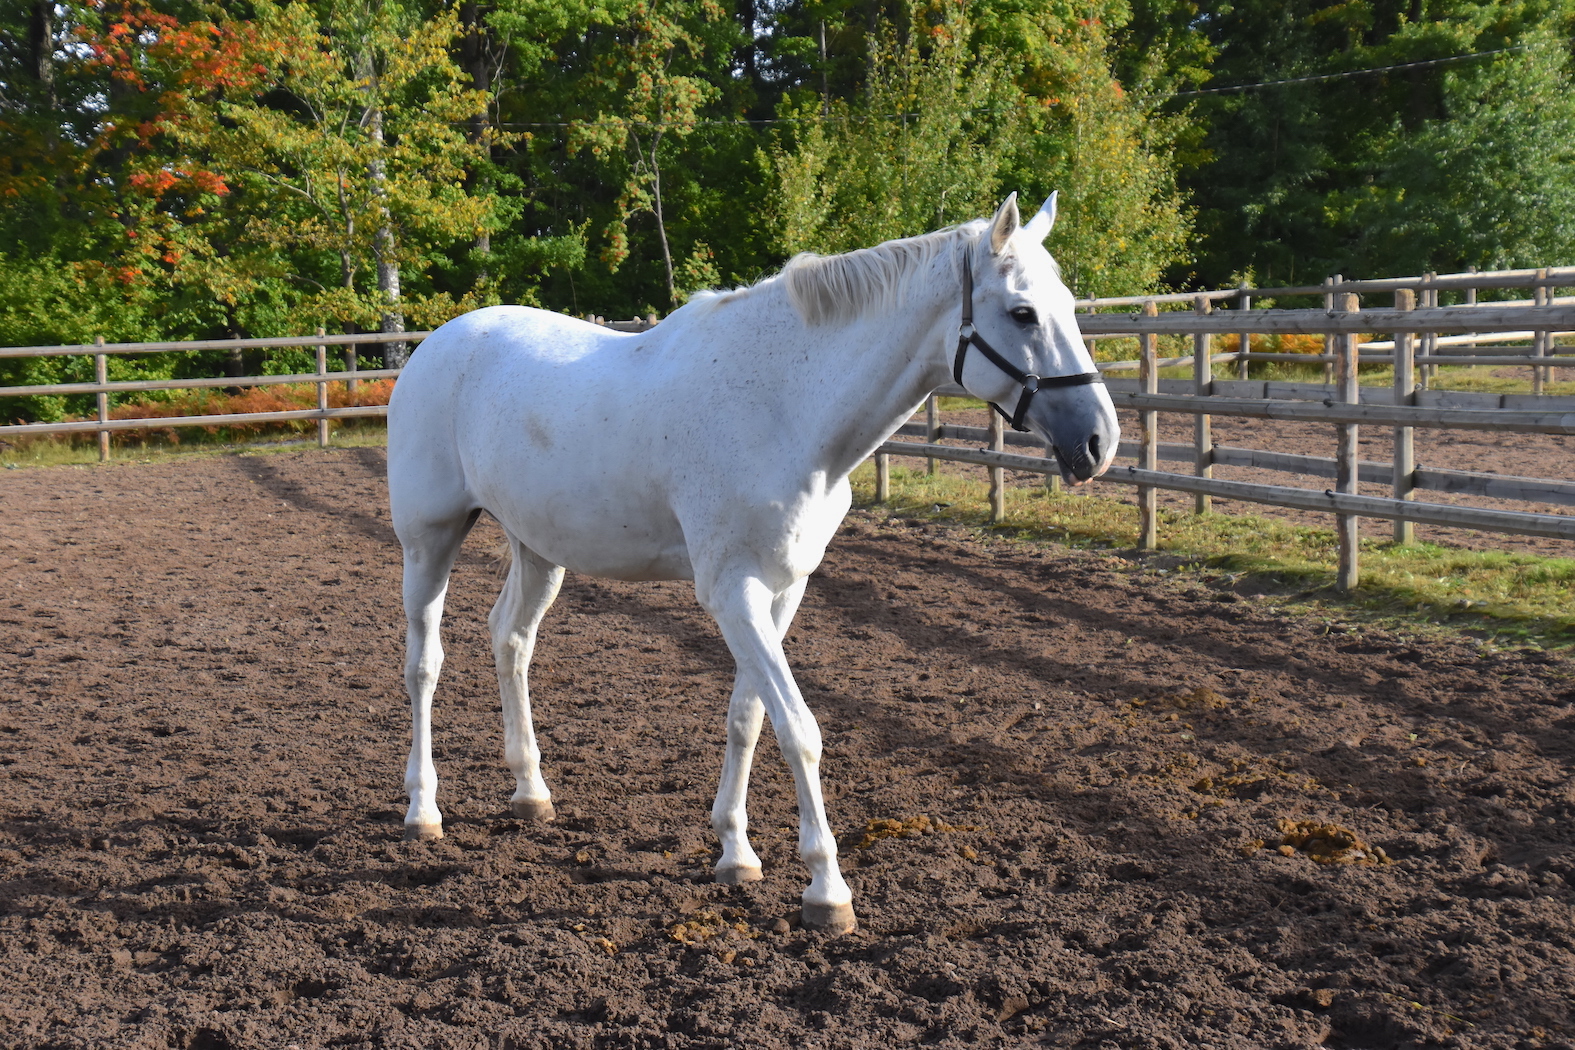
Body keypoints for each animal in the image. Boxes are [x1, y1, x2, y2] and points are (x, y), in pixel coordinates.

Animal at [386, 193, 1119, 933]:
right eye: (1022, 312)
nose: (1099, 441)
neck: (782, 406)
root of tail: (438, 344)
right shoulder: (730, 591)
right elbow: (798, 728)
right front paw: (826, 889)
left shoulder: (781, 589)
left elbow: (748, 716)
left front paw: (736, 853)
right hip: (428, 539)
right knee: (423, 665)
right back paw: (422, 810)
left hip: (539, 550)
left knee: (510, 638)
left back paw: (531, 792)